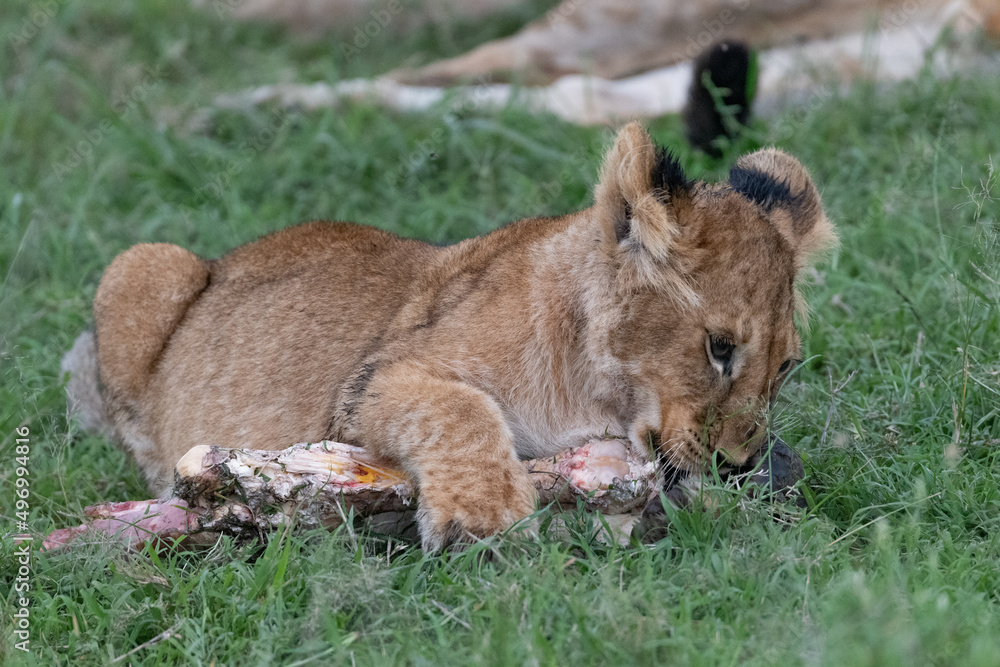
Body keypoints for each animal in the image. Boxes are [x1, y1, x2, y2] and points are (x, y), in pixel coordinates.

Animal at [80, 122, 835, 551]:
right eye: (718, 347)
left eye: (785, 366)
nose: (737, 463)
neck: (599, 398)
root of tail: (228, 259)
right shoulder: (370, 382)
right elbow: (461, 408)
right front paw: (484, 515)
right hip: (141, 263)